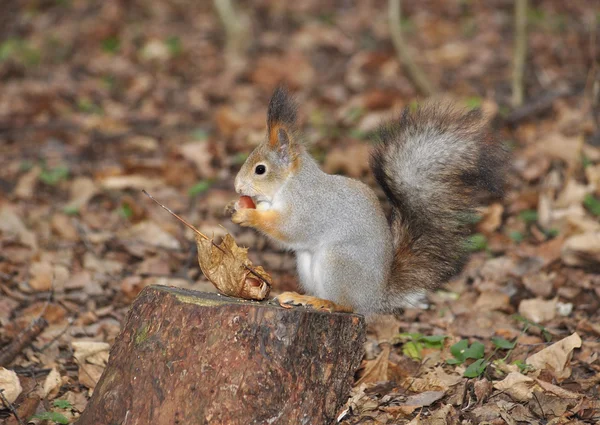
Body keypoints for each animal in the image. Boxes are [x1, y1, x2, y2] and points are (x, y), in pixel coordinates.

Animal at [230, 86, 506, 314]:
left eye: (260, 170)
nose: (237, 186)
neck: (289, 185)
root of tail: (374, 298)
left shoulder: (309, 208)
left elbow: (290, 229)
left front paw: (248, 214)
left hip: (339, 261)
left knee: (348, 306)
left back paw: (324, 302)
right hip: (308, 265)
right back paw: (301, 297)